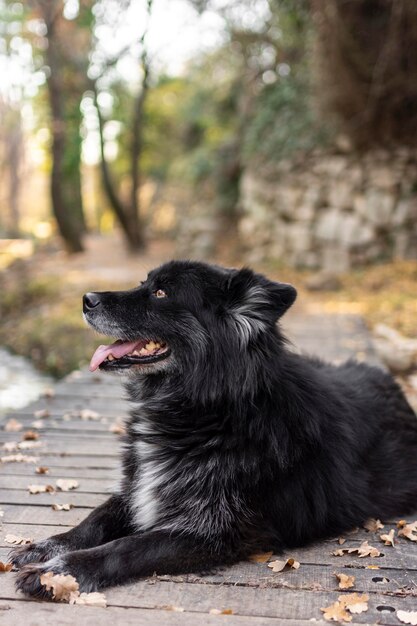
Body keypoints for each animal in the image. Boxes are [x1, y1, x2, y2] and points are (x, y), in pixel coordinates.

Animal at [11, 258, 416, 596]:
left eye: (161, 293)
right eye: (144, 283)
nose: (86, 299)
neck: (210, 410)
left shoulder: (213, 532)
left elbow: (127, 547)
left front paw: (59, 573)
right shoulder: (138, 488)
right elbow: (93, 521)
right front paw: (47, 547)